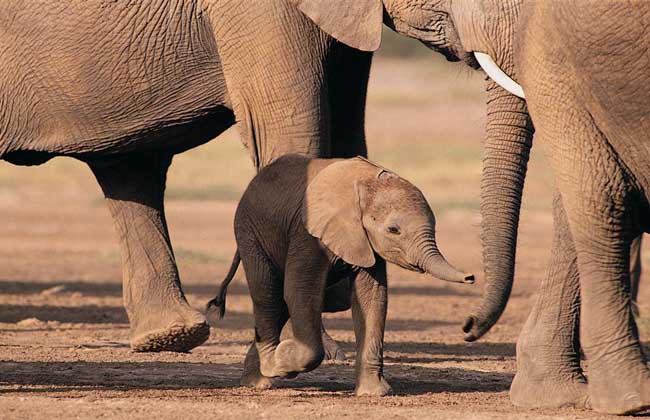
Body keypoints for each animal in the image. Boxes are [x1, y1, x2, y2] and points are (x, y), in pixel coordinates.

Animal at [208, 155, 470, 398]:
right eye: (393, 230)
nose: (470, 278)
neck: (366, 184)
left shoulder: (365, 241)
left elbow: (373, 299)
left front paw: (374, 393)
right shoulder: (307, 233)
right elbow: (300, 292)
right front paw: (283, 361)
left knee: (279, 304)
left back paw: (257, 377)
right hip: (250, 232)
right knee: (269, 295)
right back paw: (269, 371)